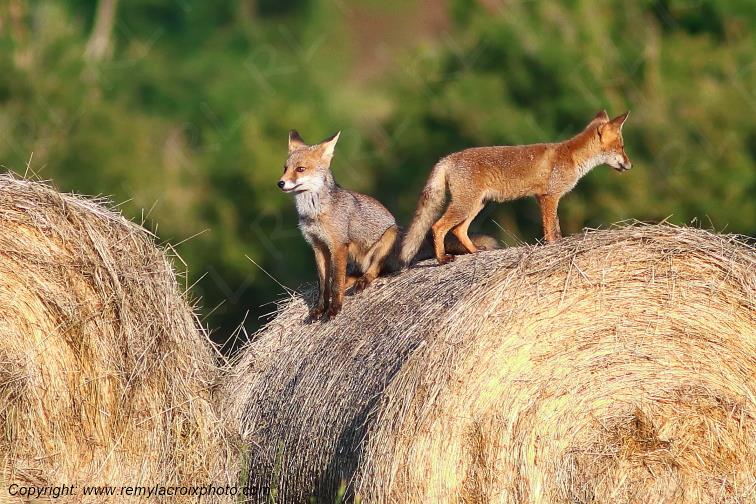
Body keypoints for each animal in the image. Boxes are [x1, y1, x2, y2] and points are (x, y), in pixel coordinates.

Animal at [279, 130, 498, 320]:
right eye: (285, 168)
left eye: (300, 169)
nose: (280, 183)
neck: (314, 213)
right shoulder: (318, 247)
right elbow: (324, 285)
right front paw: (318, 310)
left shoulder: (338, 245)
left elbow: (335, 283)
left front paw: (334, 309)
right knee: (358, 274)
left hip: (389, 236)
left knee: (375, 272)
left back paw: (363, 281)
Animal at [400, 110, 631, 265]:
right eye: (621, 147)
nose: (630, 166)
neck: (572, 157)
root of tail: (447, 158)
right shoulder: (550, 196)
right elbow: (551, 229)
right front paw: (553, 246)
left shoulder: (542, 197)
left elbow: (554, 226)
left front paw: (557, 245)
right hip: (464, 206)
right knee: (437, 227)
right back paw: (442, 258)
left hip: (476, 205)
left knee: (458, 230)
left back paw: (475, 252)